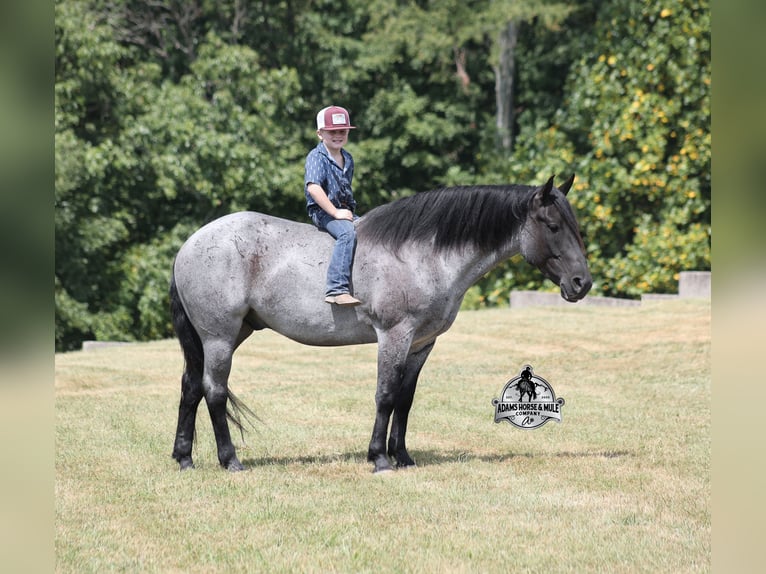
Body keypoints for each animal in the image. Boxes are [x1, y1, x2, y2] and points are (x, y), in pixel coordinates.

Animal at [169, 175, 591, 473]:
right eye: (553, 226)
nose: (582, 283)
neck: (422, 255)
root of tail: (189, 245)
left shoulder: (421, 343)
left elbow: (404, 399)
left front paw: (402, 456)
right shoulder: (394, 335)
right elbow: (385, 395)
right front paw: (379, 458)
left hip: (221, 337)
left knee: (191, 387)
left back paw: (184, 458)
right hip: (219, 337)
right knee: (214, 392)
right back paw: (230, 460)